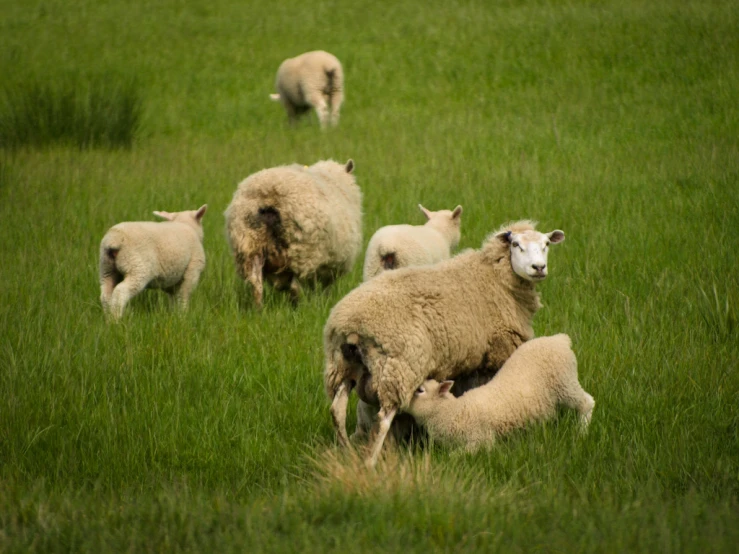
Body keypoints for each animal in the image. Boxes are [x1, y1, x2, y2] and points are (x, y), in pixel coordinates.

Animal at [225, 157, 364, 308]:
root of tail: (269, 196)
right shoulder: (331, 267)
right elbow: (325, 290)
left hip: (249, 246)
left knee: (256, 285)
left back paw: (258, 309)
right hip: (303, 253)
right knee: (295, 288)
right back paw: (299, 308)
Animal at [324, 218, 568, 464]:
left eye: (546, 244)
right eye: (516, 245)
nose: (538, 268)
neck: (494, 277)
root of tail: (350, 322)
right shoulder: (496, 353)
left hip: (344, 365)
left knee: (337, 410)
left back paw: (346, 452)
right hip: (399, 369)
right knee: (383, 419)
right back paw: (370, 462)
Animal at [404, 334, 596, 450]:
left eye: (420, 390)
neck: (453, 411)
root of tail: (560, 340)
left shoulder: (479, 440)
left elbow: (456, 457)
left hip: (565, 383)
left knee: (587, 403)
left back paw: (582, 432)